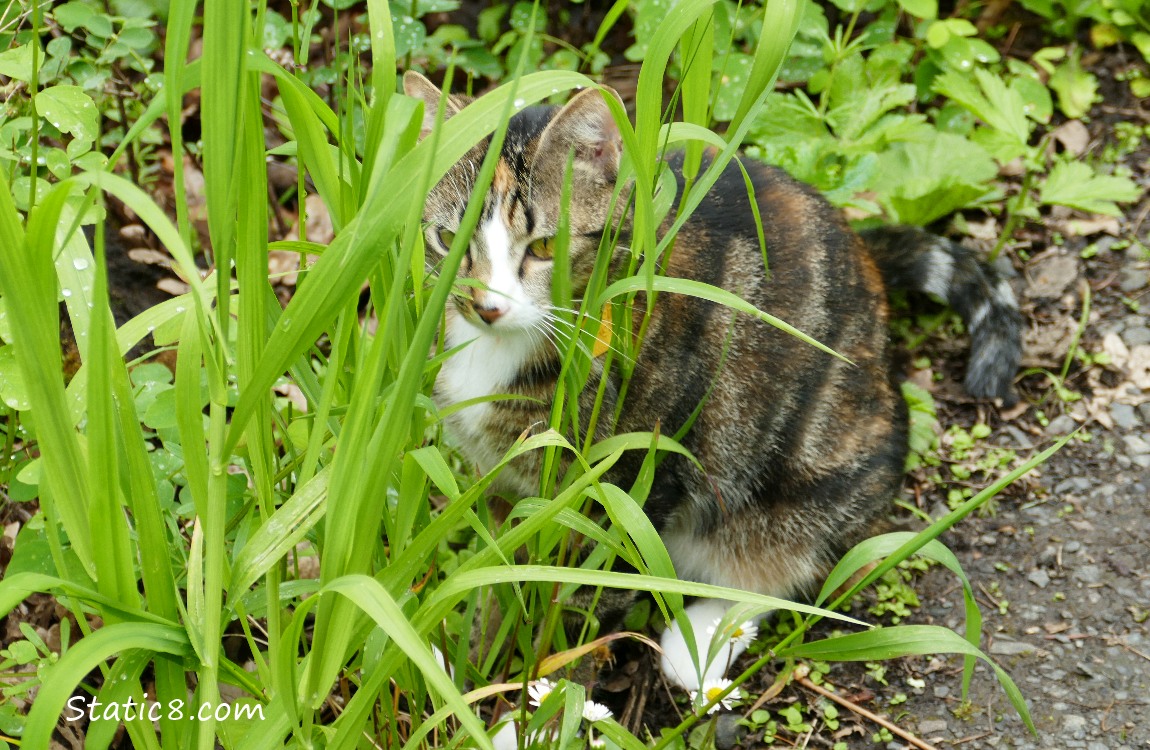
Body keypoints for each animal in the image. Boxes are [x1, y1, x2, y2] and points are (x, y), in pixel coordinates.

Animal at [407, 71, 1025, 690]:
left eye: (541, 248)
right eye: (448, 241)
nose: (486, 306)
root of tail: (866, 258)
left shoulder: (632, 476)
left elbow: (587, 596)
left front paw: (553, 691)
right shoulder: (499, 481)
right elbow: (493, 573)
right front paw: (469, 668)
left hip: (814, 476)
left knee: (793, 568)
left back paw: (701, 639)